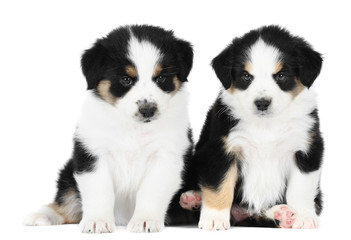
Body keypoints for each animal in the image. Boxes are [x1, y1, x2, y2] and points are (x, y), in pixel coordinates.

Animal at [24, 24, 195, 232]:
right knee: (67, 202)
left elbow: (151, 190)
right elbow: (100, 190)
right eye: (126, 79)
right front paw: (97, 221)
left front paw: (145, 220)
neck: (133, 129)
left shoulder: (168, 155)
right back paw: (41, 215)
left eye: (161, 77)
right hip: (69, 170)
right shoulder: (92, 153)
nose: (148, 110)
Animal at [182, 25, 324, 230]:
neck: (266, 125)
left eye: (281, 76)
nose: (262, 103)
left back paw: (283, 214)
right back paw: (193, 198)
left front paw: (304, 217)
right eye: (246, 76)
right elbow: (219, 186)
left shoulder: (306, 149)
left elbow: (301, 188)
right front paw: (214, 219)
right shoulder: (221, 149)